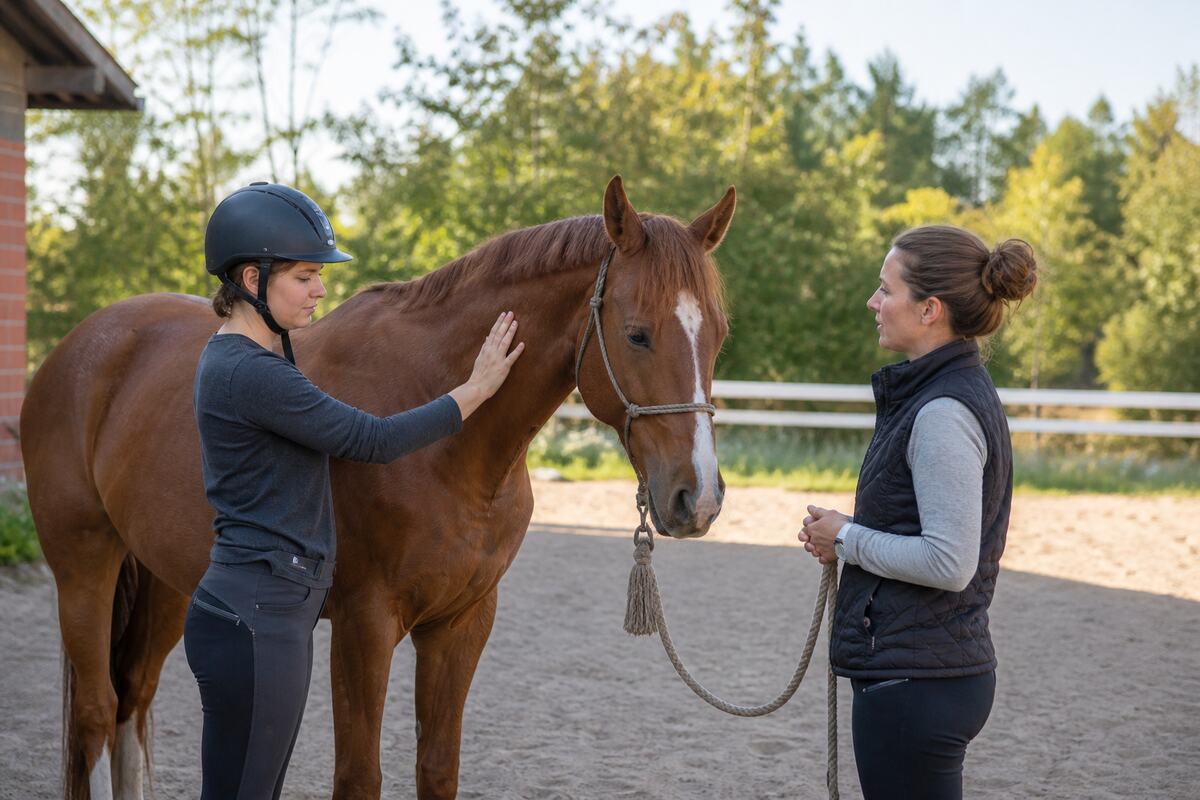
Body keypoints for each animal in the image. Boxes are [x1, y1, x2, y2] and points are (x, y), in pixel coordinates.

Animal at [21, 175, 736, 799]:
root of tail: (78, 349)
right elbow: (359, 777)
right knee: (96, 711)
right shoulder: (363, 625)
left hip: (169, 581)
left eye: (719, 335)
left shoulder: (461, 624)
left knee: (132, 701)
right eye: (637, 333)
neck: (459, 454)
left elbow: (437, 769)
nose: (697, 498)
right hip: (85, 568)